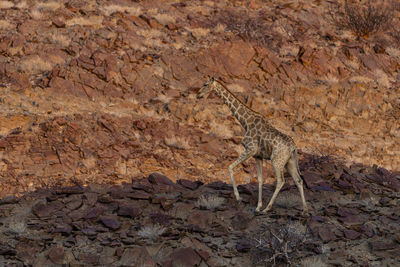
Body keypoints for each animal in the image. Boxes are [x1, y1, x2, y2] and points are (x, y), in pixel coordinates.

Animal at [198, 77, 310, 216]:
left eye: (205, 84)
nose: (198, 94)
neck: (245, 122)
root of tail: (293, 147)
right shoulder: (258, 156)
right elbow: (260, 179)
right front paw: (257, 207)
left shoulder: (250, 149)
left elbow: (230, 167)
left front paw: (239, 197)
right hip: (289, 162)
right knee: (298, 180)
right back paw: (305, 210)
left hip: (276, 161)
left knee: (281, 181)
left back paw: (268, 209)